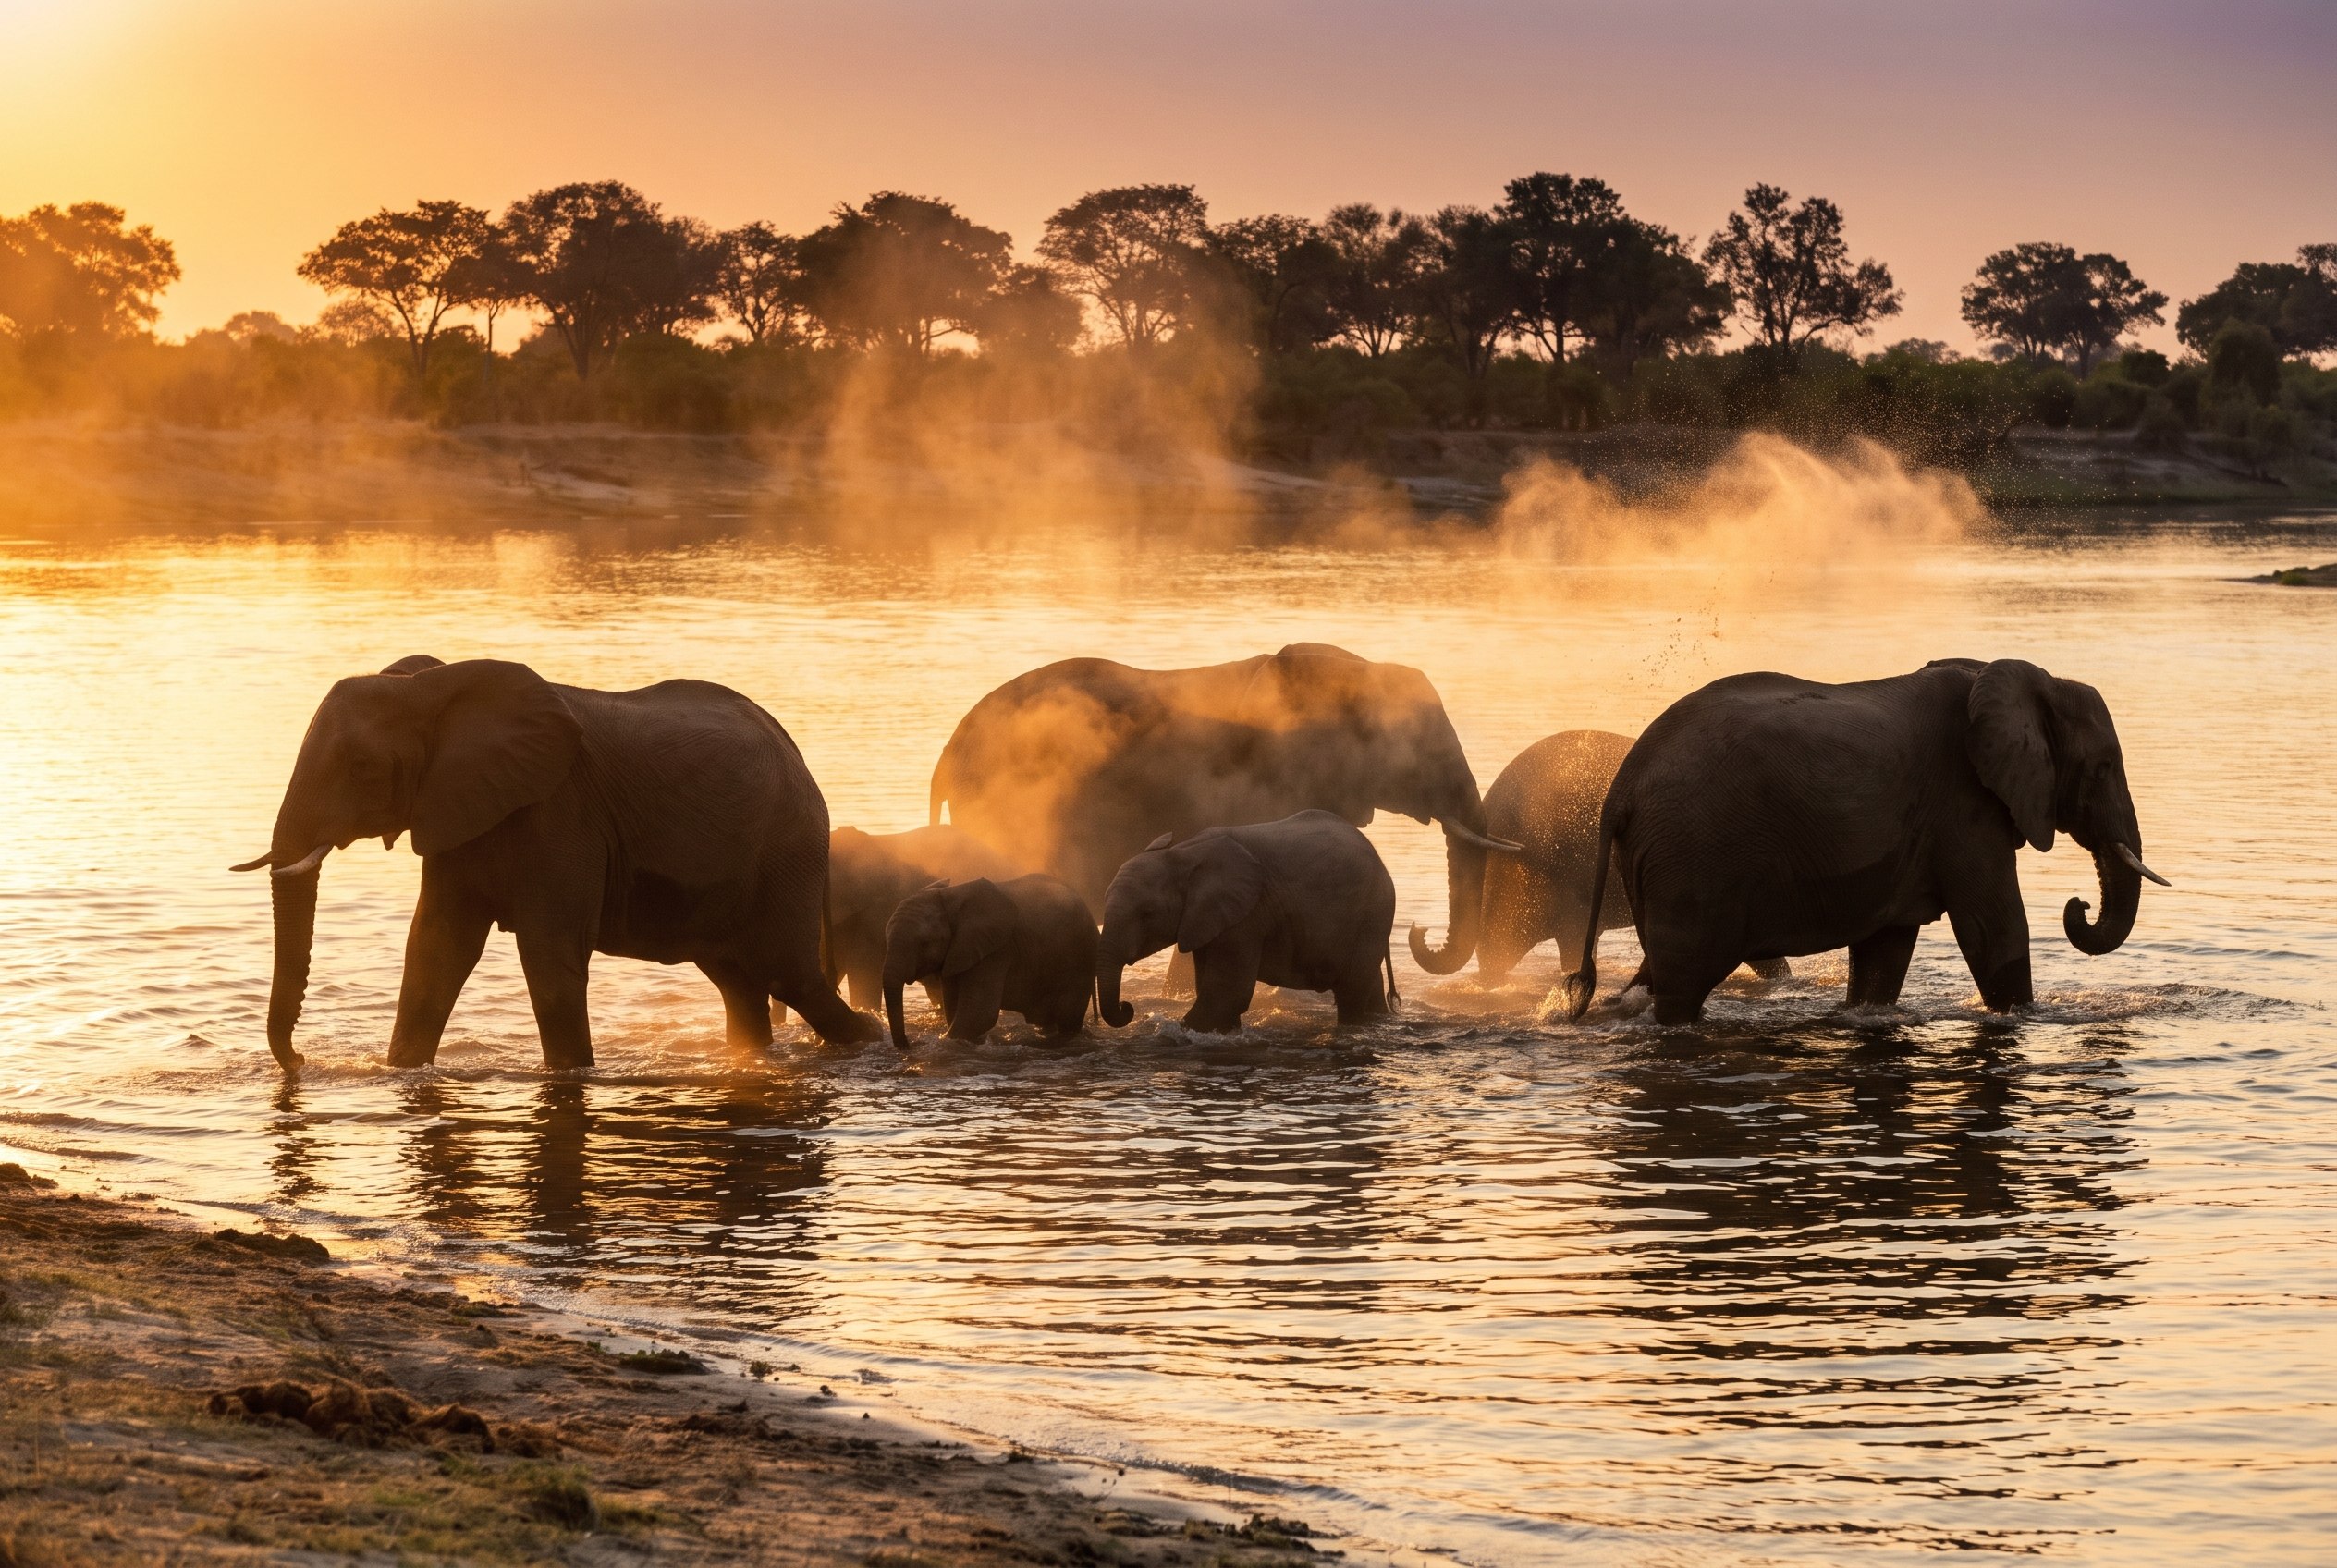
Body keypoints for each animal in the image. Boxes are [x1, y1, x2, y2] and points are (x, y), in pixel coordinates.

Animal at [235, 654, 879, 1072]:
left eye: (362, 767)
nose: (300, 1060)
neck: (429, 686)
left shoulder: (561, 813)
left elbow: (548, 953)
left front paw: (569, 1077)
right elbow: (436, 948)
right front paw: (401, 1072)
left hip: (786, 851)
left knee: (788, 975)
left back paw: (871, 1043)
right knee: (738, 982)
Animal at [881, 875, 1098, 1047]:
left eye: (925, 944)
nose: (913, 1043)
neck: (950, 898)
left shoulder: (995, 951)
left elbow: (979, 1014)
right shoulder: (958, 953)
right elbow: (955, 1008)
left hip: (1080, 959)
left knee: (1068, 1017)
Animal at [1096, 810, 1399, 1034]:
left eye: (1147, 913)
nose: (1127, 1007)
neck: (1182, 853)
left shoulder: (1247, 916)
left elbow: (1227, 993)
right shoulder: (1206, 919)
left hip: (1373, 914)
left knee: (1351, 992)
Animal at [1561, 658, 2166, 1026]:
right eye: (2104, 767)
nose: (2077, 903)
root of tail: (1620, 788)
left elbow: (1885, 947)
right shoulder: (1964, 807)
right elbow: (1995, 928)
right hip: (1692, 857)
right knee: (1682, 984)